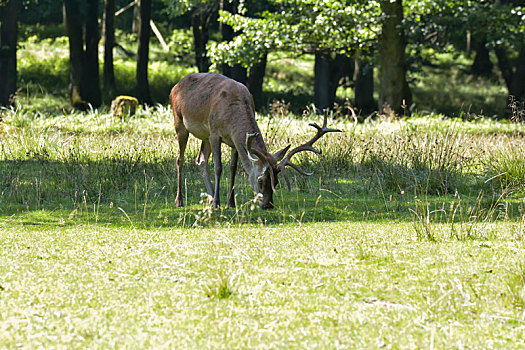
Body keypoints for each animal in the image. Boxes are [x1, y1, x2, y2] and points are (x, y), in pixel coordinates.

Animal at [169, 72, 340, 209]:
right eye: (260, 180)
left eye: (276, 182)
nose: (268, 205)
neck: (232, 115)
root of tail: (175, 86)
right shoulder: (215, 133)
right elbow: (218, 167)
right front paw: (218, 203)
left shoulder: (233, 139)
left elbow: (233, 168)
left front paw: (230, 203)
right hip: (180, 122)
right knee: (180, 159)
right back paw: (180, 201)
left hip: (204, 135)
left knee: (200, 160)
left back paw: (210, 198)